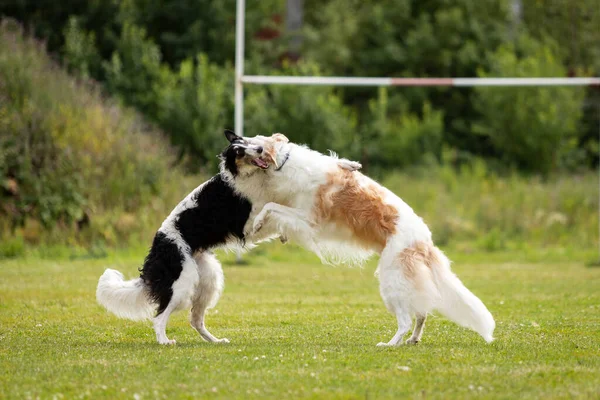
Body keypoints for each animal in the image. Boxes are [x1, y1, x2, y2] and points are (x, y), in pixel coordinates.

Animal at [97, 130, 360, 344]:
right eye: (239, 150)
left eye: (248, 142)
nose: (260, 149)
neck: (250, 176)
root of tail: (157, 248)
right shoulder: (248, 220)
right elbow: (270, 212)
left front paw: (348, 164)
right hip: (182, 283)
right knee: (159, 316)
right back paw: (164, 340)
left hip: (208, 278)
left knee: (195, 320)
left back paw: (215, 341)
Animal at [223, 132, 494, 346]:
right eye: (244, 142)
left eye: (252, 142)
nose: (238, 141)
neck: (285, 164)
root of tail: (424, 242)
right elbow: (273, 210)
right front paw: (273, 232)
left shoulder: (309, 219)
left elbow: (270, 207)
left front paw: (259, 223)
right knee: (421, 314)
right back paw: (412, 340)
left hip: (391, 282)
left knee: (406, 320)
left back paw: (390, 344)